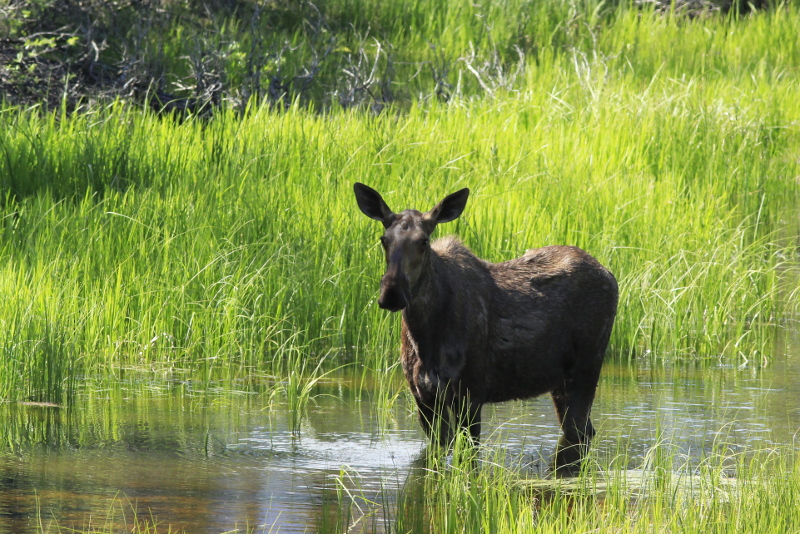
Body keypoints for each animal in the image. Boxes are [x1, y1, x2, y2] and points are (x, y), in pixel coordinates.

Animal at [354, 184, 620, 474]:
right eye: (383, 239)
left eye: (423, 241)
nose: (391, 293)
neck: (425, 337)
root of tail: (610, 275)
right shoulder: (423, 397)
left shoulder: (471, 394)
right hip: (559, 381)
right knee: (584, 431)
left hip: (587, 368)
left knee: (580, 431)